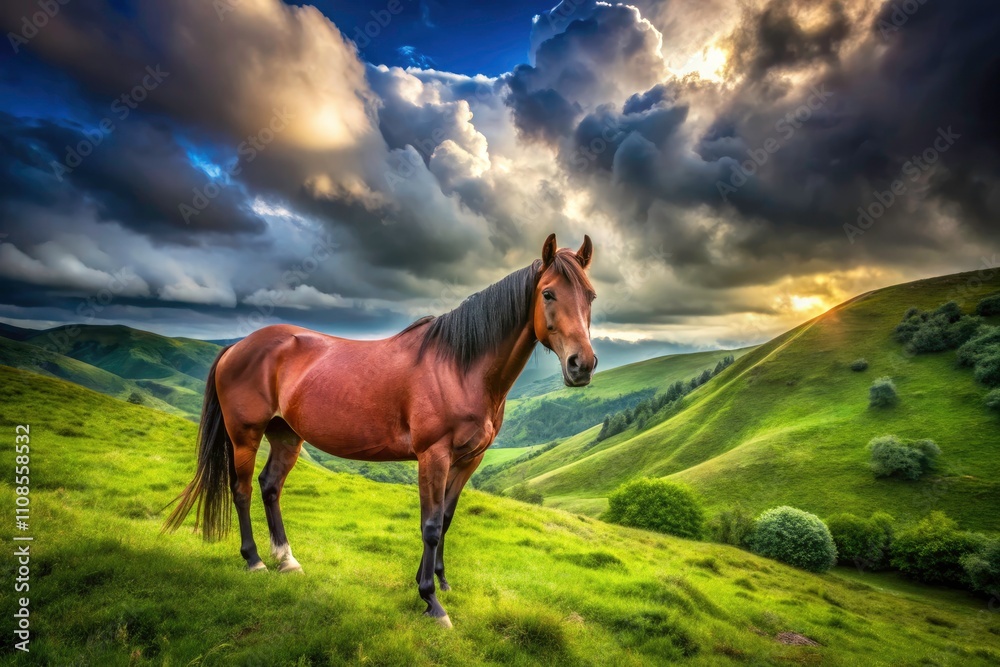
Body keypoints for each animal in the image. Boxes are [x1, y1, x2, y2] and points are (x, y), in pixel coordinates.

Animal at [164, 233, 598, 627]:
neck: (459, 367)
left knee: (269, 487)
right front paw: (431, 601)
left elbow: (446, 518)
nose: (583, 364)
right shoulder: (433, 456)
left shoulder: (468, 461)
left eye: (590, 297)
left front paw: (438, 582)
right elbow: (430, 525)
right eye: (548, 294)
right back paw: (254, 560)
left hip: (286, 435)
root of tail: (236, 346)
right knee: (240, 490)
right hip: (245, 435)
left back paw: (286, 560)